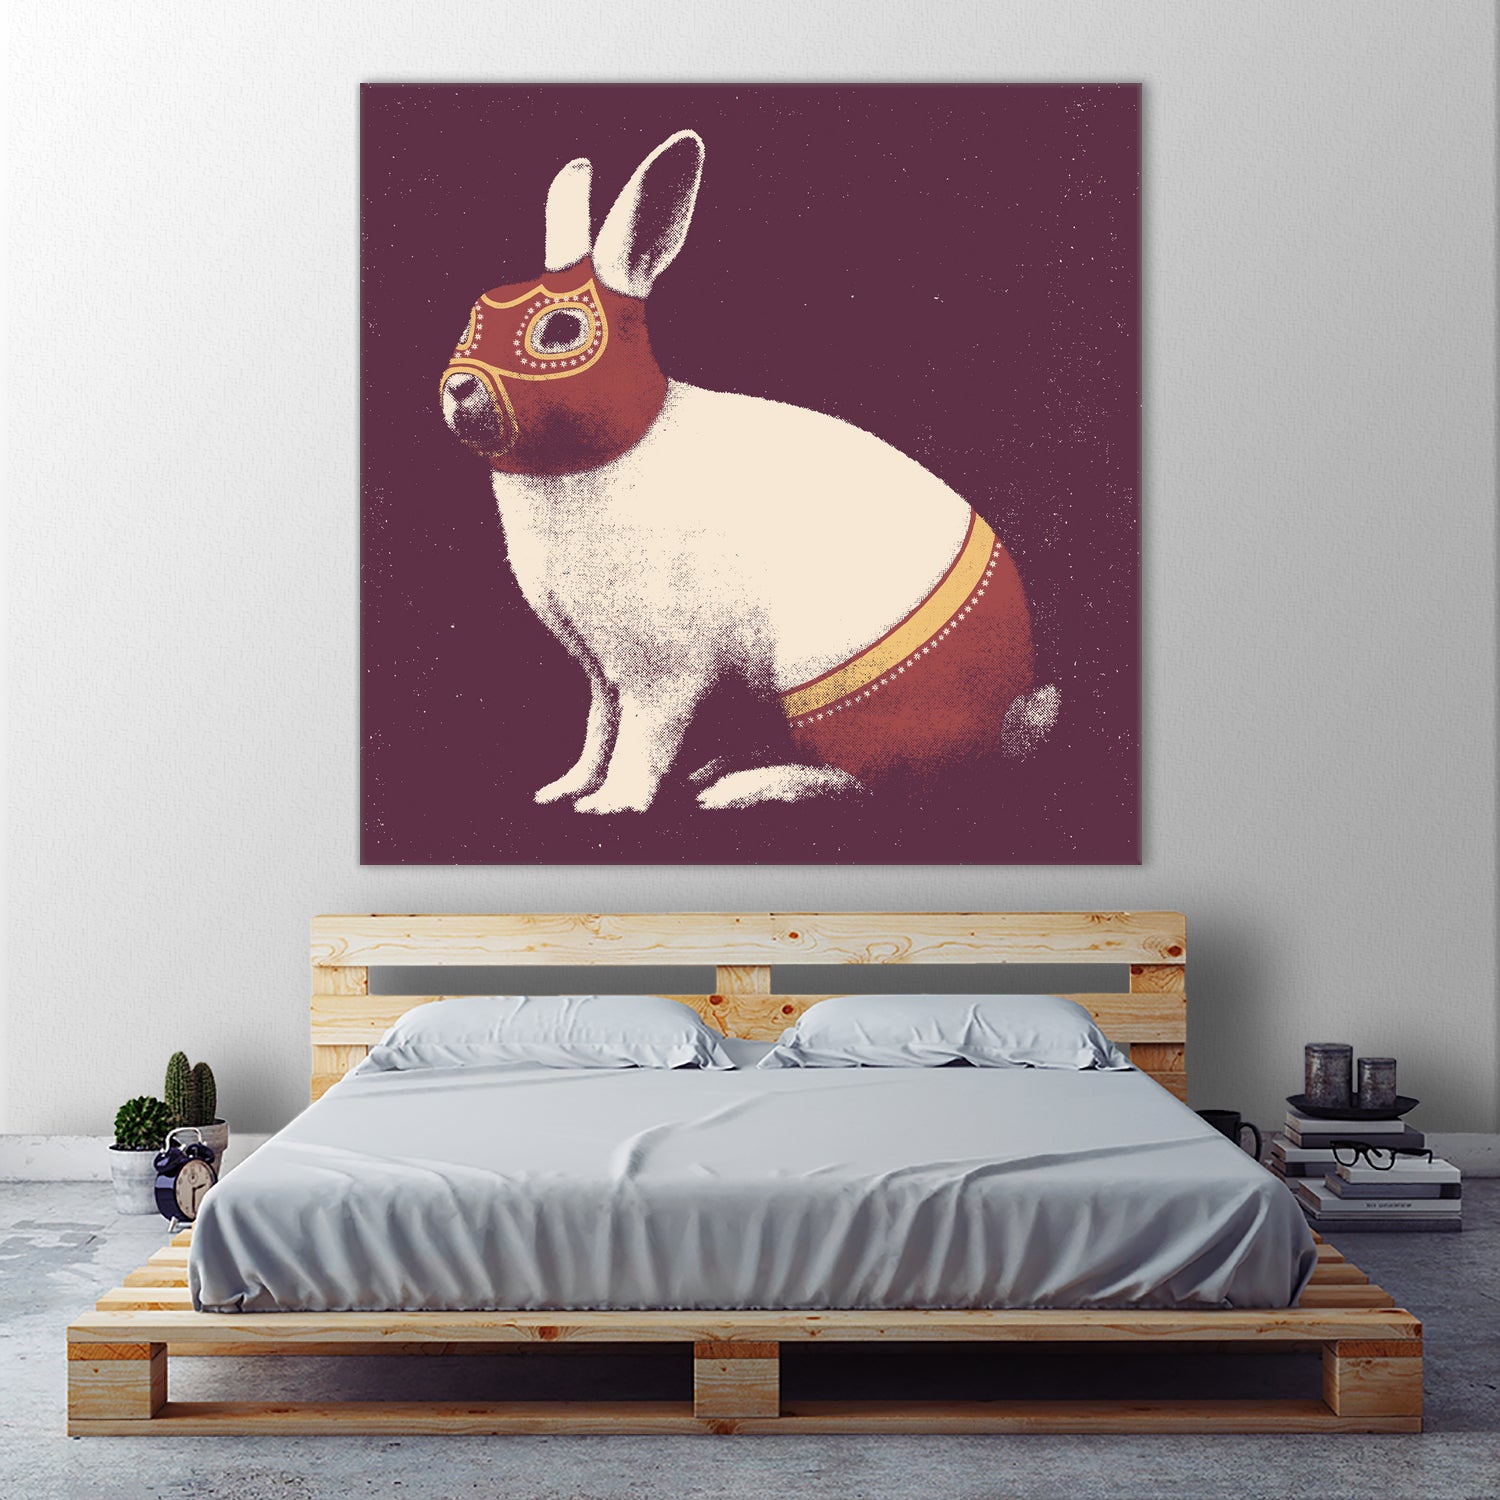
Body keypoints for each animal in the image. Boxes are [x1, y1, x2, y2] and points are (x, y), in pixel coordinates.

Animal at [440, 130, 1057, 815]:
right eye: (475, 315)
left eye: (562, 329)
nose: (459, 387)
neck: (616, 445)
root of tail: (1005, 715)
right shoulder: (599, 670)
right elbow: (599, 726)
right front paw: (564, 788)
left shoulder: (662, 669)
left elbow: (642, 737)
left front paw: (613, 804)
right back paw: (717, 769)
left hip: (829, 689)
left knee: (860, 777)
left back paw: (737, 789)